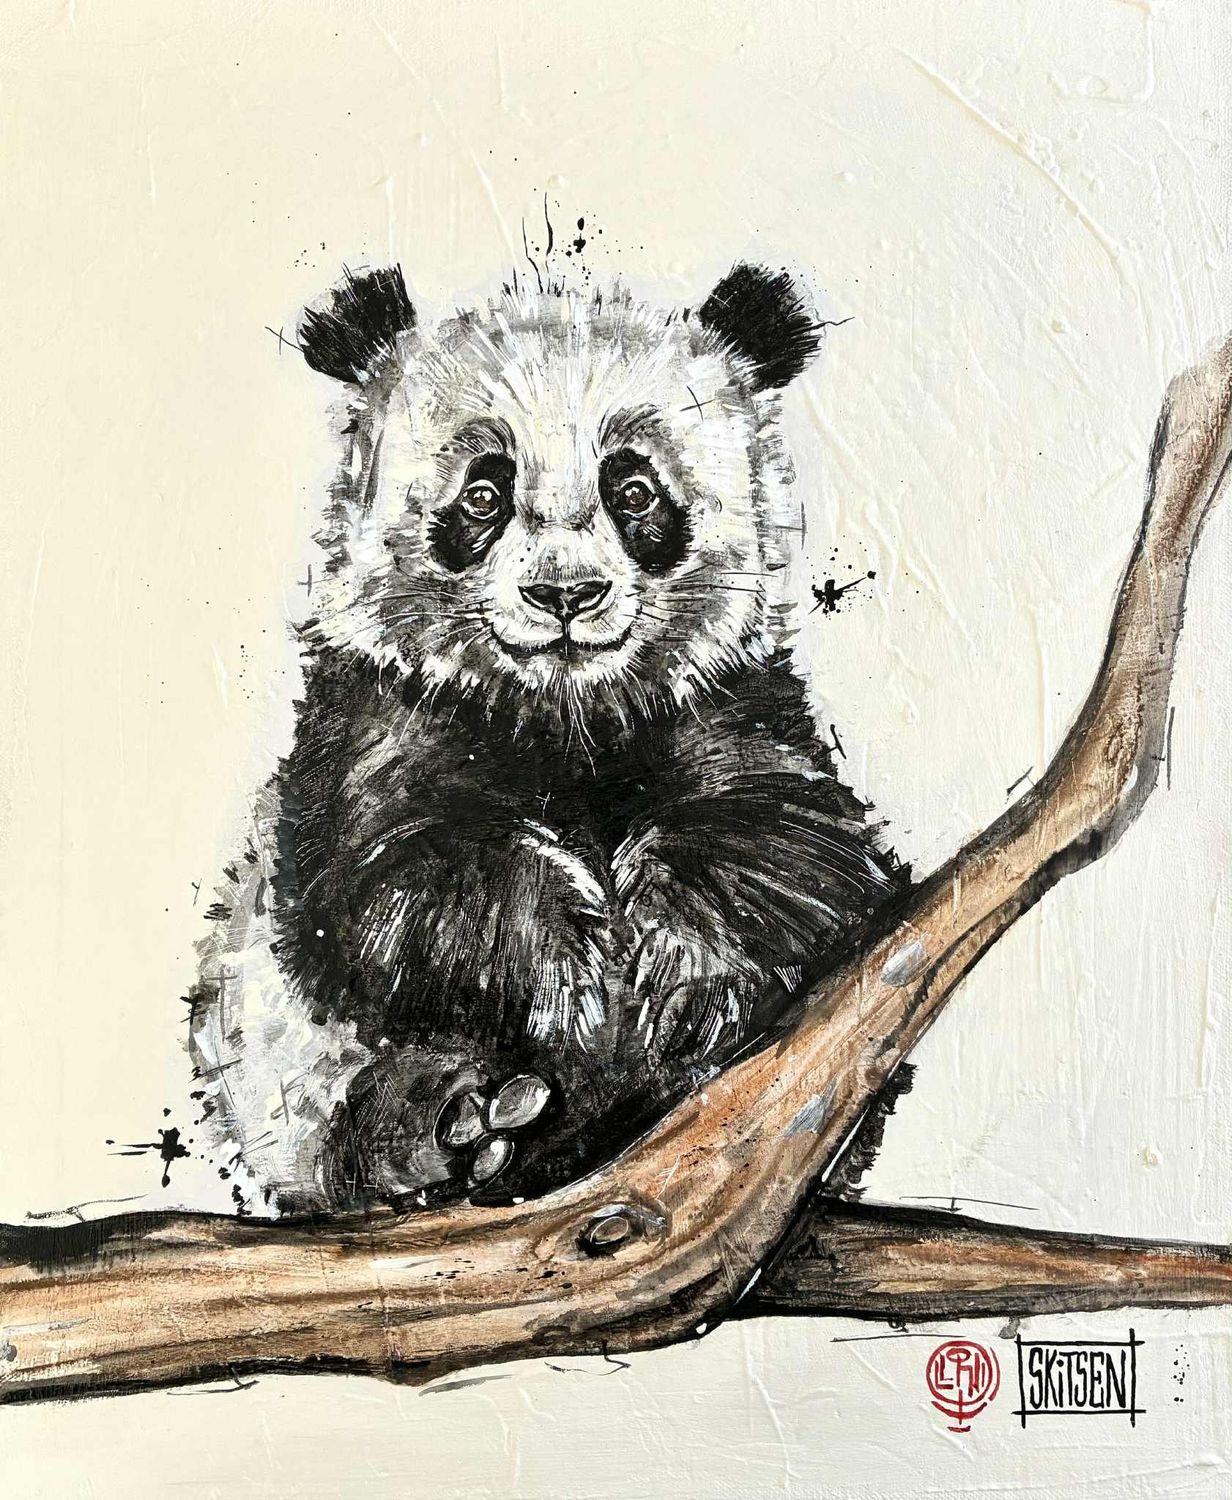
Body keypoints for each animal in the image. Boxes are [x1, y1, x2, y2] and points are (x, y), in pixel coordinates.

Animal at [188, 261, 906, 1215]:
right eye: (483, 494)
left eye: (633, 490)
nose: (565, 595)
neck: (566, 715)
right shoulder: (379, 721)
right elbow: (409, 875)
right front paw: (573, 994)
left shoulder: (727, 703)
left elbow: (785, 842)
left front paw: (682, 985)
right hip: (276, 1054)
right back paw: (458, 1126)